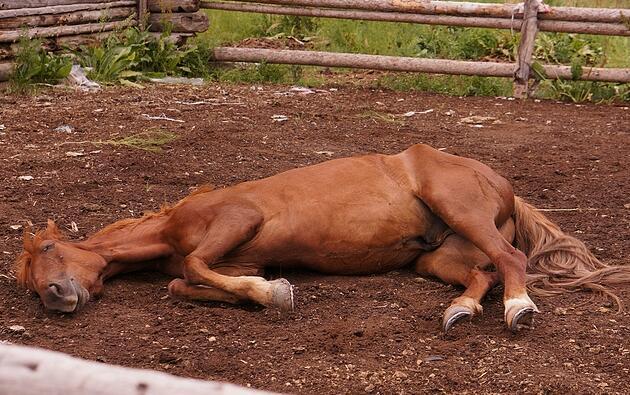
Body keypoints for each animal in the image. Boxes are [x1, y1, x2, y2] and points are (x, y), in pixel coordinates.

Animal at [14, 144, 630, 332]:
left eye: (47, 249)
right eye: (29, 282)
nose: (55, 297)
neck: (168, 228)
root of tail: (499, 182)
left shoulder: (236, 221)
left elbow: (190, 269)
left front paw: (275, 296)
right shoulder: (235, 259)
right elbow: (187, 284)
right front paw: (264, 292)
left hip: (462, 211)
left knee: (511, 260)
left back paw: (518, 309)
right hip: (436, 259)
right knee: (485, 271)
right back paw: (459, 311)